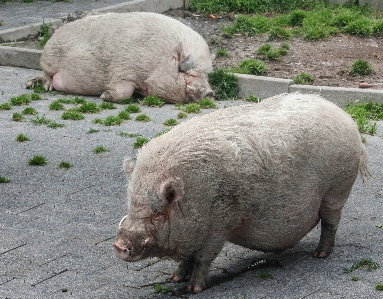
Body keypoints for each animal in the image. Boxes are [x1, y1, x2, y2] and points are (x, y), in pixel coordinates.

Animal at [25, 11, 214, 103]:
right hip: (49, 59)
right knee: (47, 74)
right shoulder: (124, 69)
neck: (159, 59)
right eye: (189, 73)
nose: (211, 93)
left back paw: (31, 84)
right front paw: (104, 96)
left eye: (206, 75)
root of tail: (55, 34)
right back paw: (44, 87)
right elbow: (123, 90)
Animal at [112, 93, 370, 292]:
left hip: (337, 189)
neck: (193, 199)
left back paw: (320, 255)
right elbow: (187, 258)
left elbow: (203, 258)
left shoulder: (220, 224)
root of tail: (347, 119)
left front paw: (194, 289)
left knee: (330, 222)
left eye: (157, 215)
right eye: (132, 205)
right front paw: (173, 279)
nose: (118, 245)